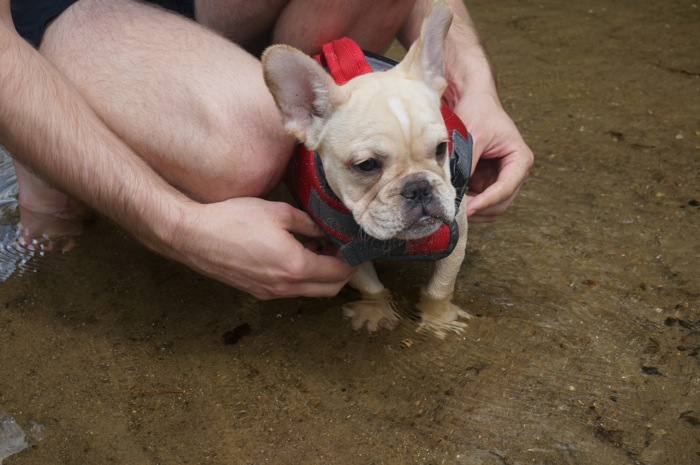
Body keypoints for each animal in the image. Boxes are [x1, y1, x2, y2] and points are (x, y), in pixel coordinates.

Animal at [262, 0, 470, 336]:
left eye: (441, 148)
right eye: (367, 165)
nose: (418, 187)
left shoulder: (459, 226)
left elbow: (441, 283)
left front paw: (437, 319)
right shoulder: (341, 246)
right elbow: (367, 282)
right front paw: (376, 311)